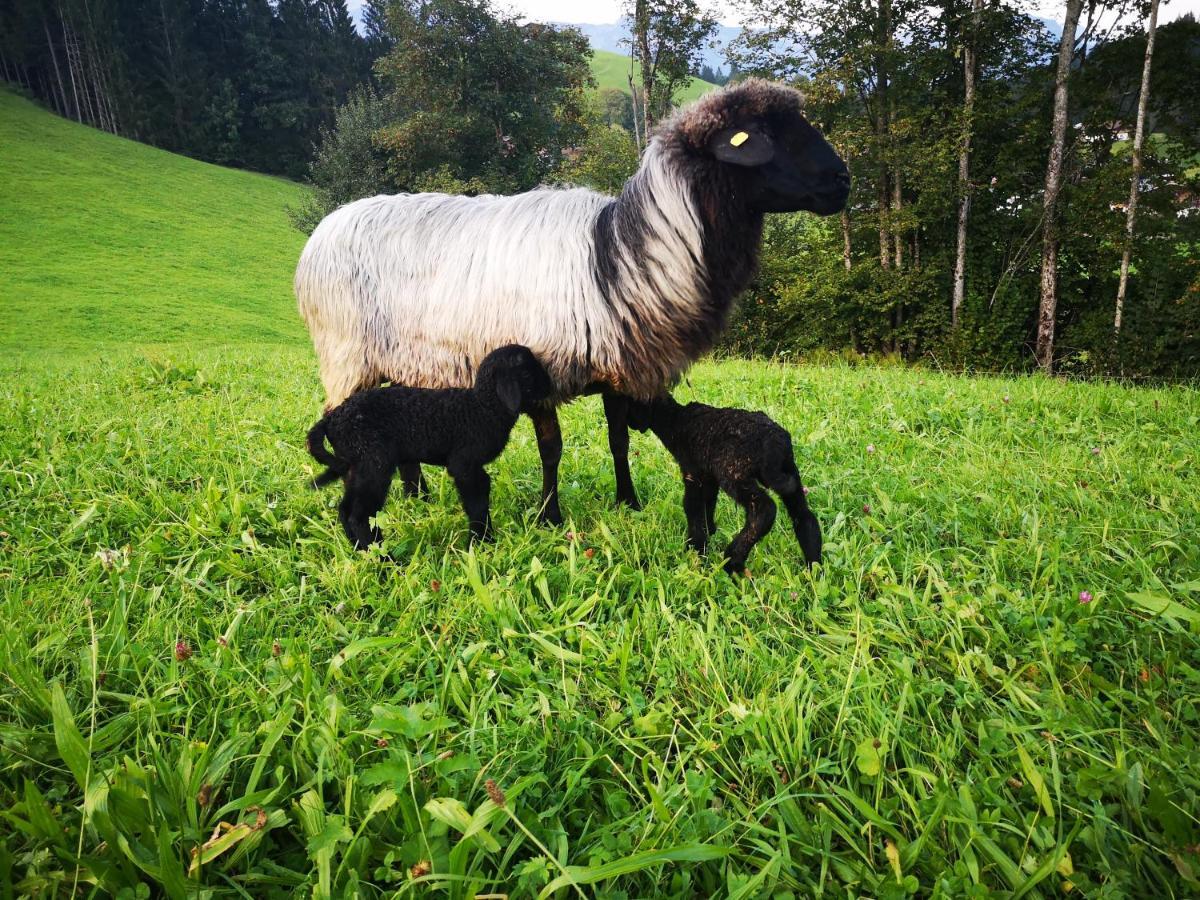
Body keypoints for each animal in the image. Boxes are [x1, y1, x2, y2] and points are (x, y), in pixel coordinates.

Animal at [307, 345, 554, 549]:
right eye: (526, 372)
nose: (550, 387)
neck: (482, 407)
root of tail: (332, 419)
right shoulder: (464, 465)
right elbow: (476, 504)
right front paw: (480, 543)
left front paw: (485, 540)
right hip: (373, 463)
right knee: (359, 516)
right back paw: (385, 559)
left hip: (356, 466)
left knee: (345, 510)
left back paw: (361, 551)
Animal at [628, 393, 816, 578]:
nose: (630, 424)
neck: (674, 420)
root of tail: (774, 443)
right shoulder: (709, 476)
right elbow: (709, 503)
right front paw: (709, 531)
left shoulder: (692, 472)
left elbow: (692, 507)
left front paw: (695, 549)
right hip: (789, 470)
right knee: (804, 514)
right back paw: (814, 570)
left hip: (733, 472)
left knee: (765, 508)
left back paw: (732, 560)